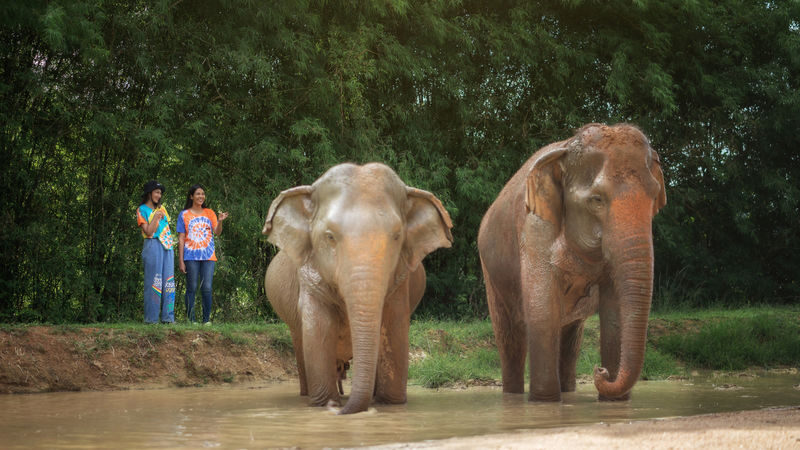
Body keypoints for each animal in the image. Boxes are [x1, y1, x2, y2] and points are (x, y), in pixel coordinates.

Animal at [262, 162, 453, 414]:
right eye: (330, 237)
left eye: (397, 236)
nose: (338, 410)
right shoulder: (309, 278)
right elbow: (319, 327)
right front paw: (326, 403)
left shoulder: (400, 280)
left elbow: (394, 325)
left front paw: (388, 404)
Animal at [477, 123, 666, 402]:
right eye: (597, 199)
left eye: (654, 197)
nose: (601, 370)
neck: (565, 151)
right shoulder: (534, 225)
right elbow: (543, 311)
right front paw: (544, 401)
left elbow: (615, 311)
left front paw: (615, 402)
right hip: (491, 273)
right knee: (509, 338)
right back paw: (513, 396)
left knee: (570, 338)